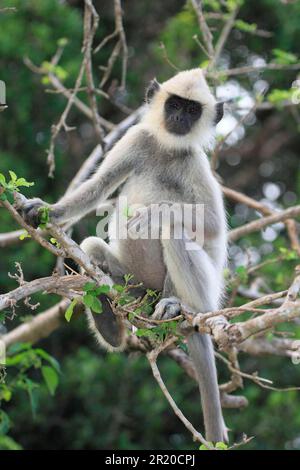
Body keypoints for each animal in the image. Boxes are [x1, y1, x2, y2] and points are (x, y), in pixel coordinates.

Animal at [22, 68, 227, 442]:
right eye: (174, 104)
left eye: (192, 110)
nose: (179, 118)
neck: (167, 149)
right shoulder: (138, 139)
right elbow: (99, 186)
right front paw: (47, 211)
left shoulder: (194, 162)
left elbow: (213, 224)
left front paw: (153, 214)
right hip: (133, 283)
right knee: (92, 246)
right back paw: (108, 316)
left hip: (204, 295)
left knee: (175, 233)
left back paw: (177, 306)